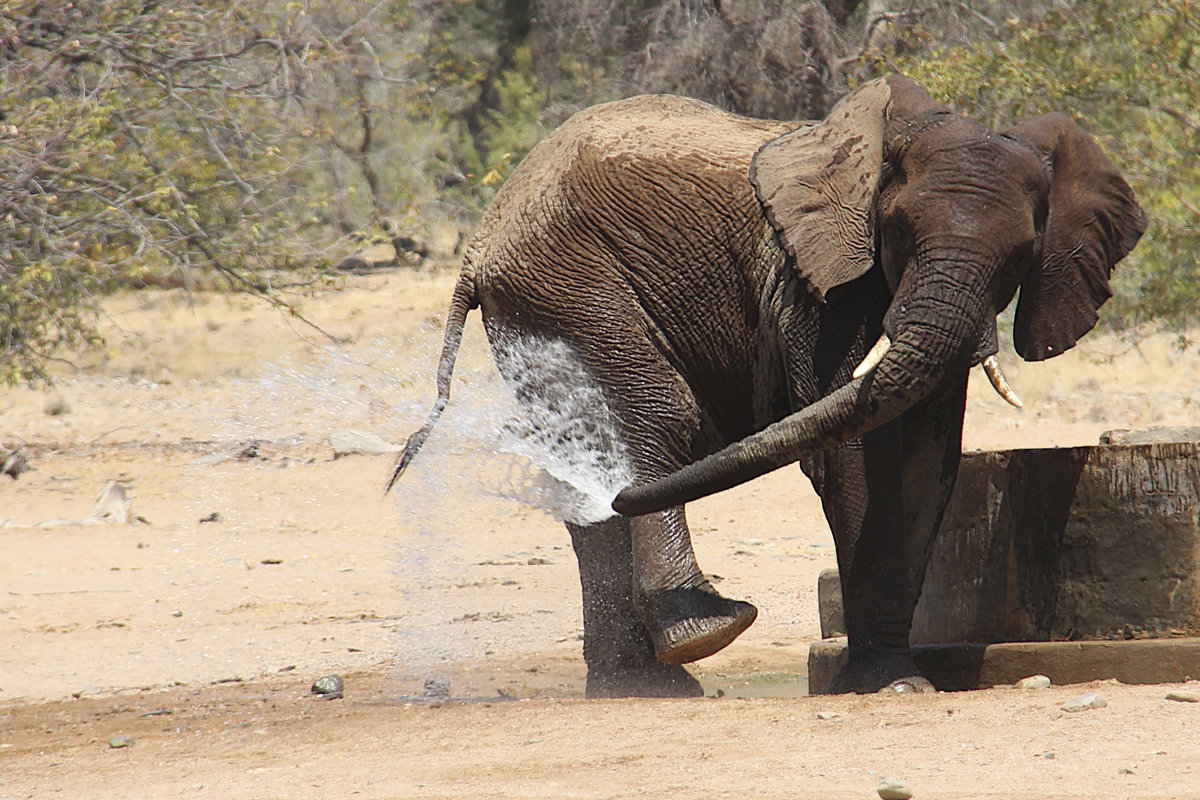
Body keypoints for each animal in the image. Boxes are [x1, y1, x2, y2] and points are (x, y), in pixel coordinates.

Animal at [391, 76, 1142, 700]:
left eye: (1021, 255)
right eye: (896, 231)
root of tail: (480, 238)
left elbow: (926, 460)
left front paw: (899, 681)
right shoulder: (817, 284)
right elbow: (853, 453)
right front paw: (887, 686)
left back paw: (643, 687)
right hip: (568, 288)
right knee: (654, 421)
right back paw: (708, 631)